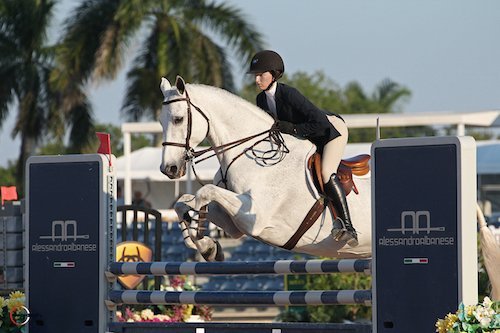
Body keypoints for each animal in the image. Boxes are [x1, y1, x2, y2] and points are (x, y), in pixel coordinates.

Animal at [159, 76, 372, 260]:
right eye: (160, 122)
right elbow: (182, 203)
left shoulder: (255, 217)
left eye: (178, 119)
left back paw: (346, 232)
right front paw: (208, 247)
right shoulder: (233, 224)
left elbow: (205, 191)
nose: (168, 168)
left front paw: (200, 233)